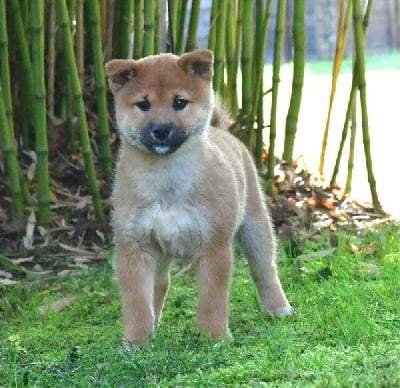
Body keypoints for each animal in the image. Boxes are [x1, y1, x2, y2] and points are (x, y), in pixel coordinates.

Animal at [104, 49, 292, 346]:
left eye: (179, 102)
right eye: (143, 104)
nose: (161, 130)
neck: (166, 179)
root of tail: (222, 132)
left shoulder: (214, 245)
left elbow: (212, 298)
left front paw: (214, 336)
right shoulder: (134, 245)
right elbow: (136, 302)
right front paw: (136, 341)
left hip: (255, 226)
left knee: (264, 270)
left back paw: (278, 308)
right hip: (162, 253)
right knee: (160, 285)